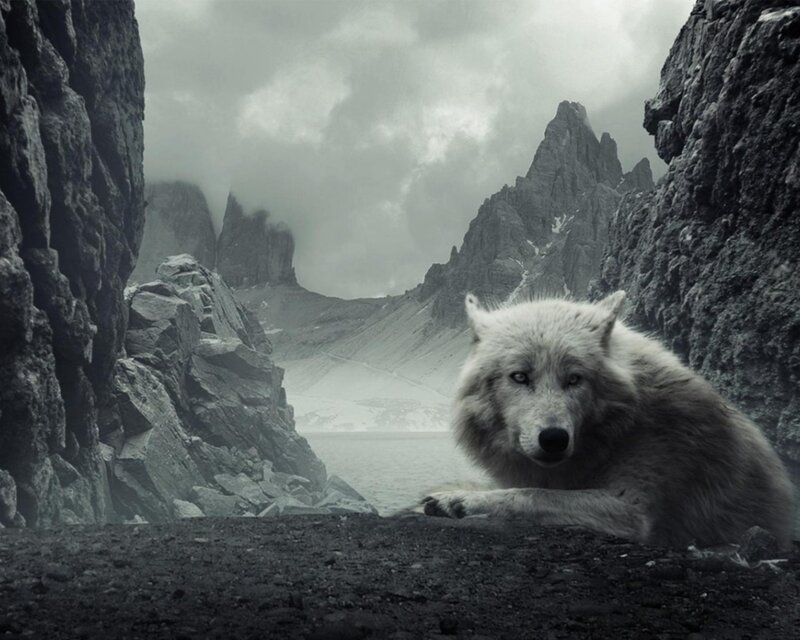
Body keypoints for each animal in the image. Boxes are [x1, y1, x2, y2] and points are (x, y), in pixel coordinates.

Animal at [422, 291, 794, 549]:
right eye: (520, 377)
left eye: (574, 379)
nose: (554, 439)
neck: (620, 430)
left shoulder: (632, 510)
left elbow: (530, 495)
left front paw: (459, 500)